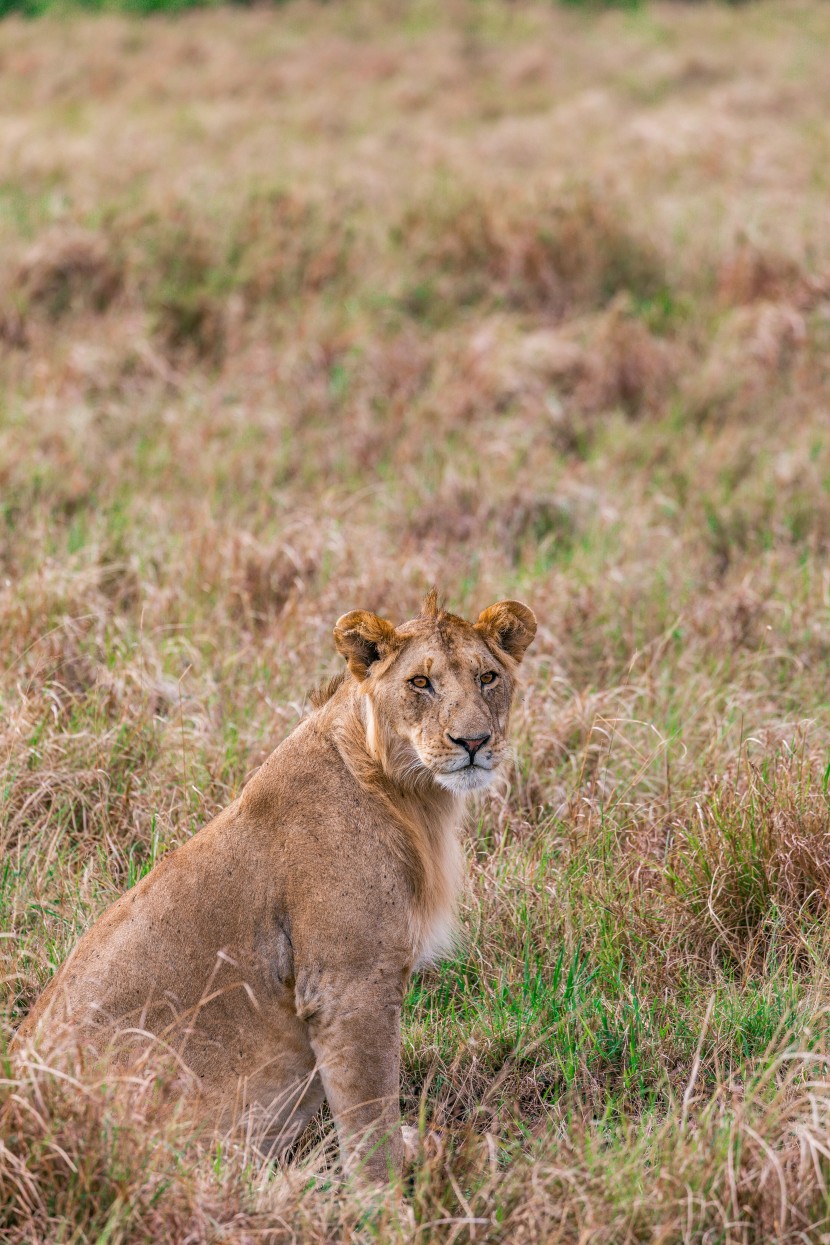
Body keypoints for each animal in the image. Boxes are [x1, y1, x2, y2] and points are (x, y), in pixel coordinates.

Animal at [19, 590, 542, 1175]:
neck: (411, 795)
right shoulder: (349, 987)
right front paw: (385, 1196)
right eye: (420, 683)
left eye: (488, 677)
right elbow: (369, 1123)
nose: (474, 741)